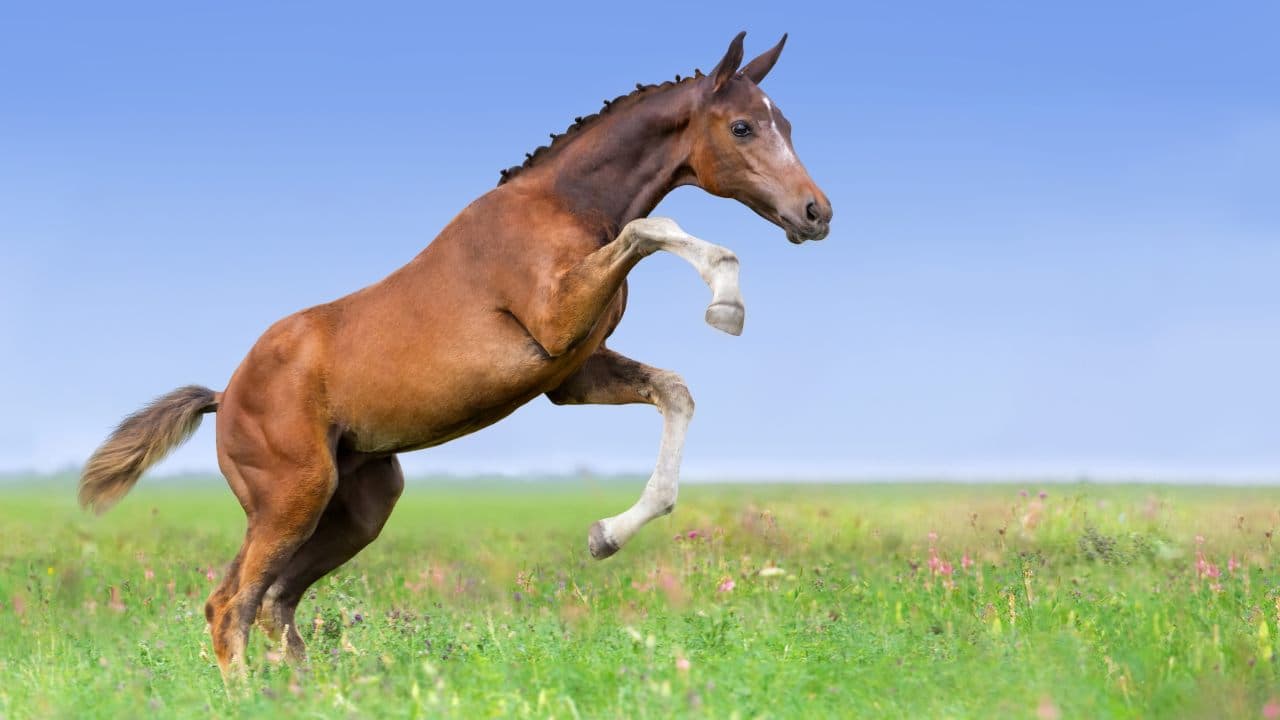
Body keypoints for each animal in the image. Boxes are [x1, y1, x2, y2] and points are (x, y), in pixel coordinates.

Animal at [78, 31, 832, 676]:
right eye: (743, 127)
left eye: (787, 125)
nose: (816, 212)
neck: (561, 206)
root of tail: (225, 396)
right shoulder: (557, 325)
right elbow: (655, 226)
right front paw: (727, 302)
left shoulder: (572, 371)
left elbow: (675, 390)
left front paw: (606, 535)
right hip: (292, 498)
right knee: (231, 604)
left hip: (358, 507)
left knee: (276, 602)